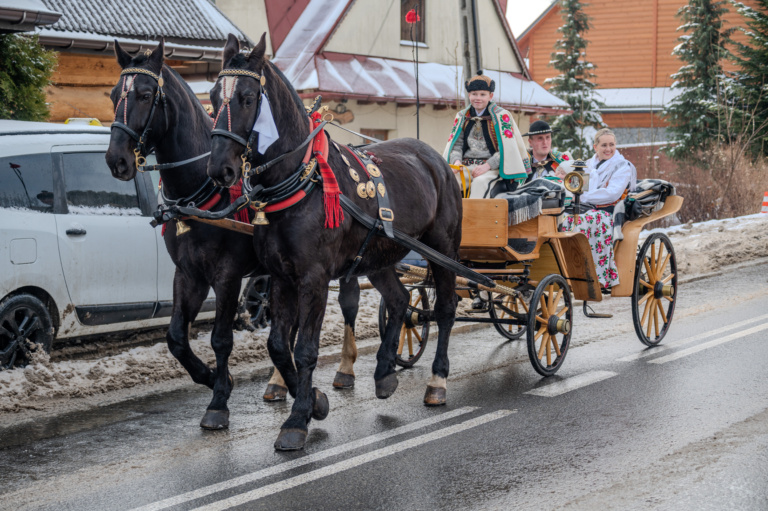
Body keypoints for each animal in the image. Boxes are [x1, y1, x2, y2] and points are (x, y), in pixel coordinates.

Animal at [104, 41, 364, 432]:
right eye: (112, 95)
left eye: (146, 95)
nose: (116, 160)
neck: (201, 188)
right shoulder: (189, 274)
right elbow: (176, 338)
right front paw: (213, 378)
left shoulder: (226, 275)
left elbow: (221, 339)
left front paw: (219, 400)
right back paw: (279, 384)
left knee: (349, 308)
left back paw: (344, 369)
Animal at [206, 35, 462, 452]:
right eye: (213, 96)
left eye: (247, 97)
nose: (218, 169)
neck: (300, 182)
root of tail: (436, 159)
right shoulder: (281, 277)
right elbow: (279, 345)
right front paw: (313, 401)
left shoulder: (314, 279)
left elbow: (305, 349)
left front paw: (297, 420)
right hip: (380, 256)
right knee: (399, 301)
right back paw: (384, 373)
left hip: (442, 250)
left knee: (445, 310)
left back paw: (437, 381)